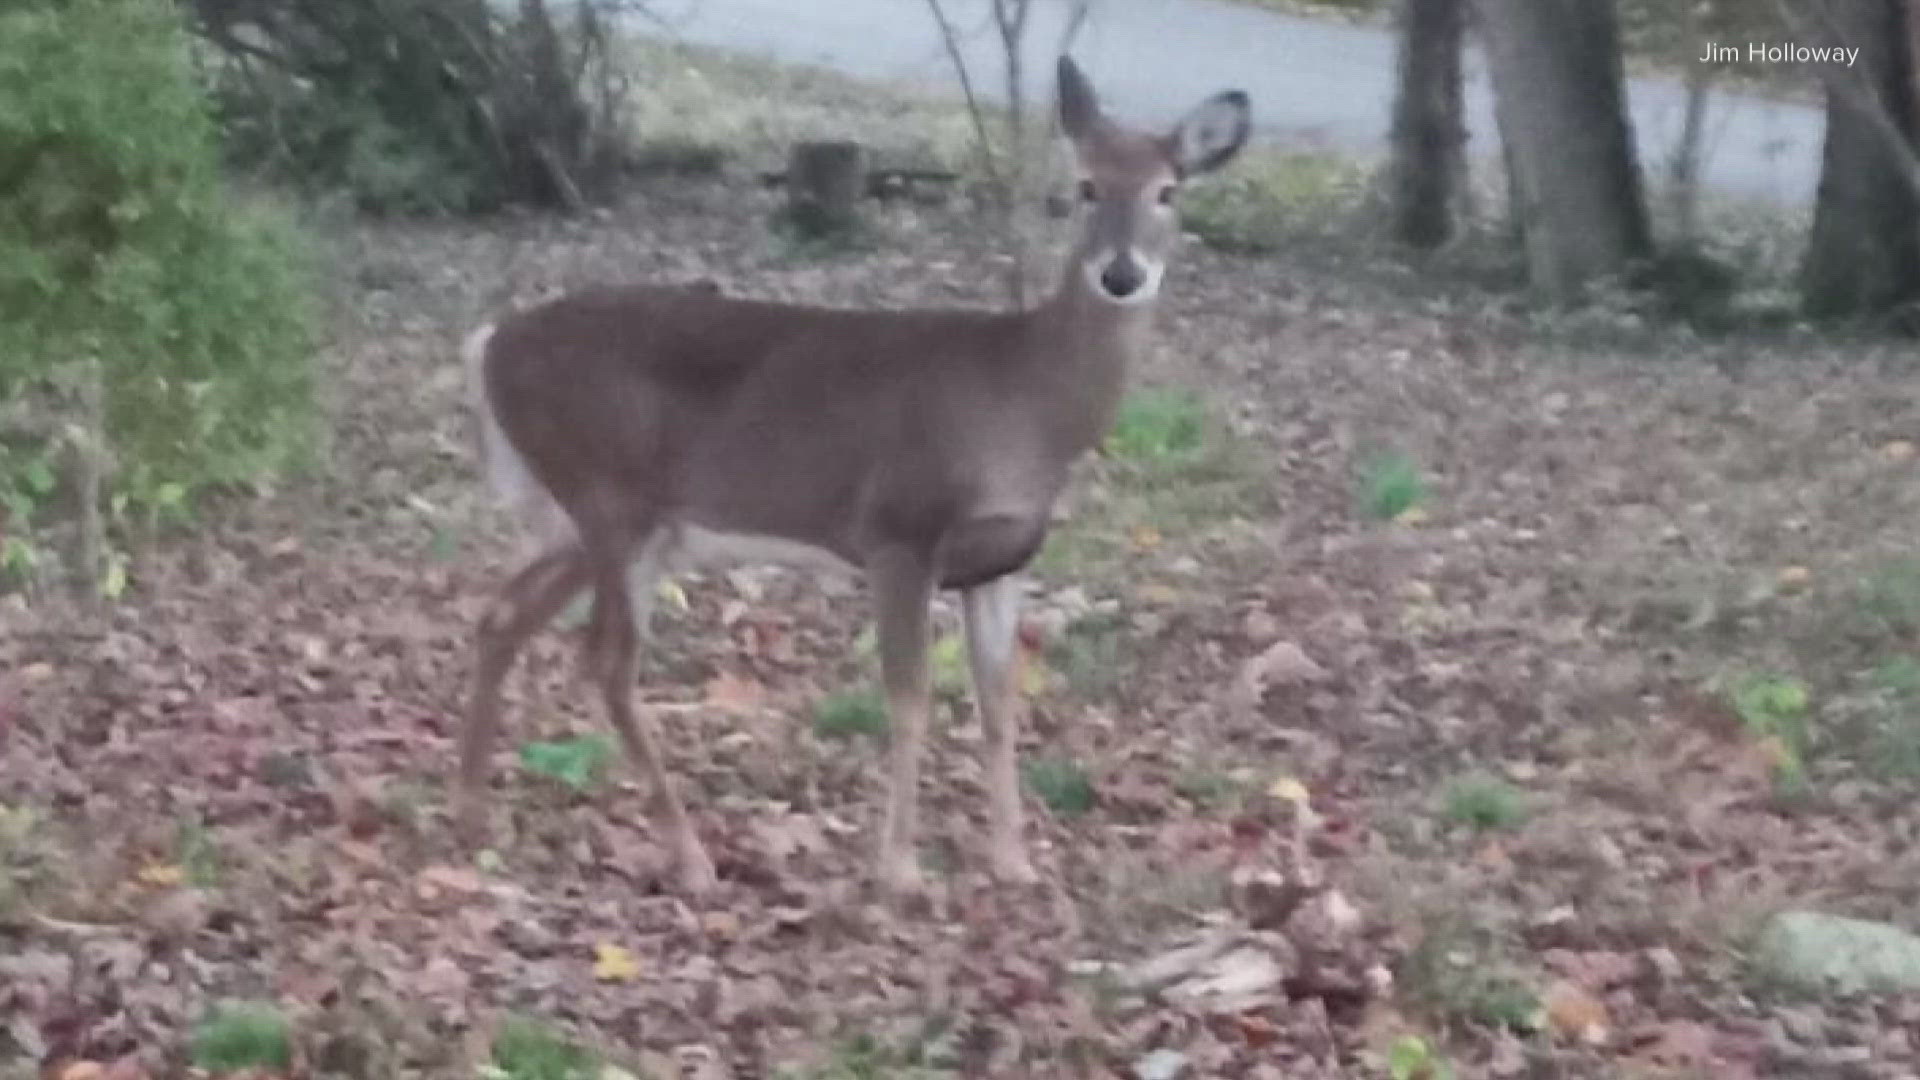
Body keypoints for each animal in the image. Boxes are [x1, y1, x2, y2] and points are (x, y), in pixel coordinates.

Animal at [457, 55, 1251, 896]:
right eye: (1086, 186)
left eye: (1168, 191)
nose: (1122, 273)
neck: (1026, 404)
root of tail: (488, 346)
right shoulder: (899, 530)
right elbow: (909, 697)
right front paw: (899, 868)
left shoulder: (1004, 560)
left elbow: (999, 702)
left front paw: (1014, 861)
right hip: (611, 498)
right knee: (605, 663)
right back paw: (690, 856)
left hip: (588, 519)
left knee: (502, 615)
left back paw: (471, 809)